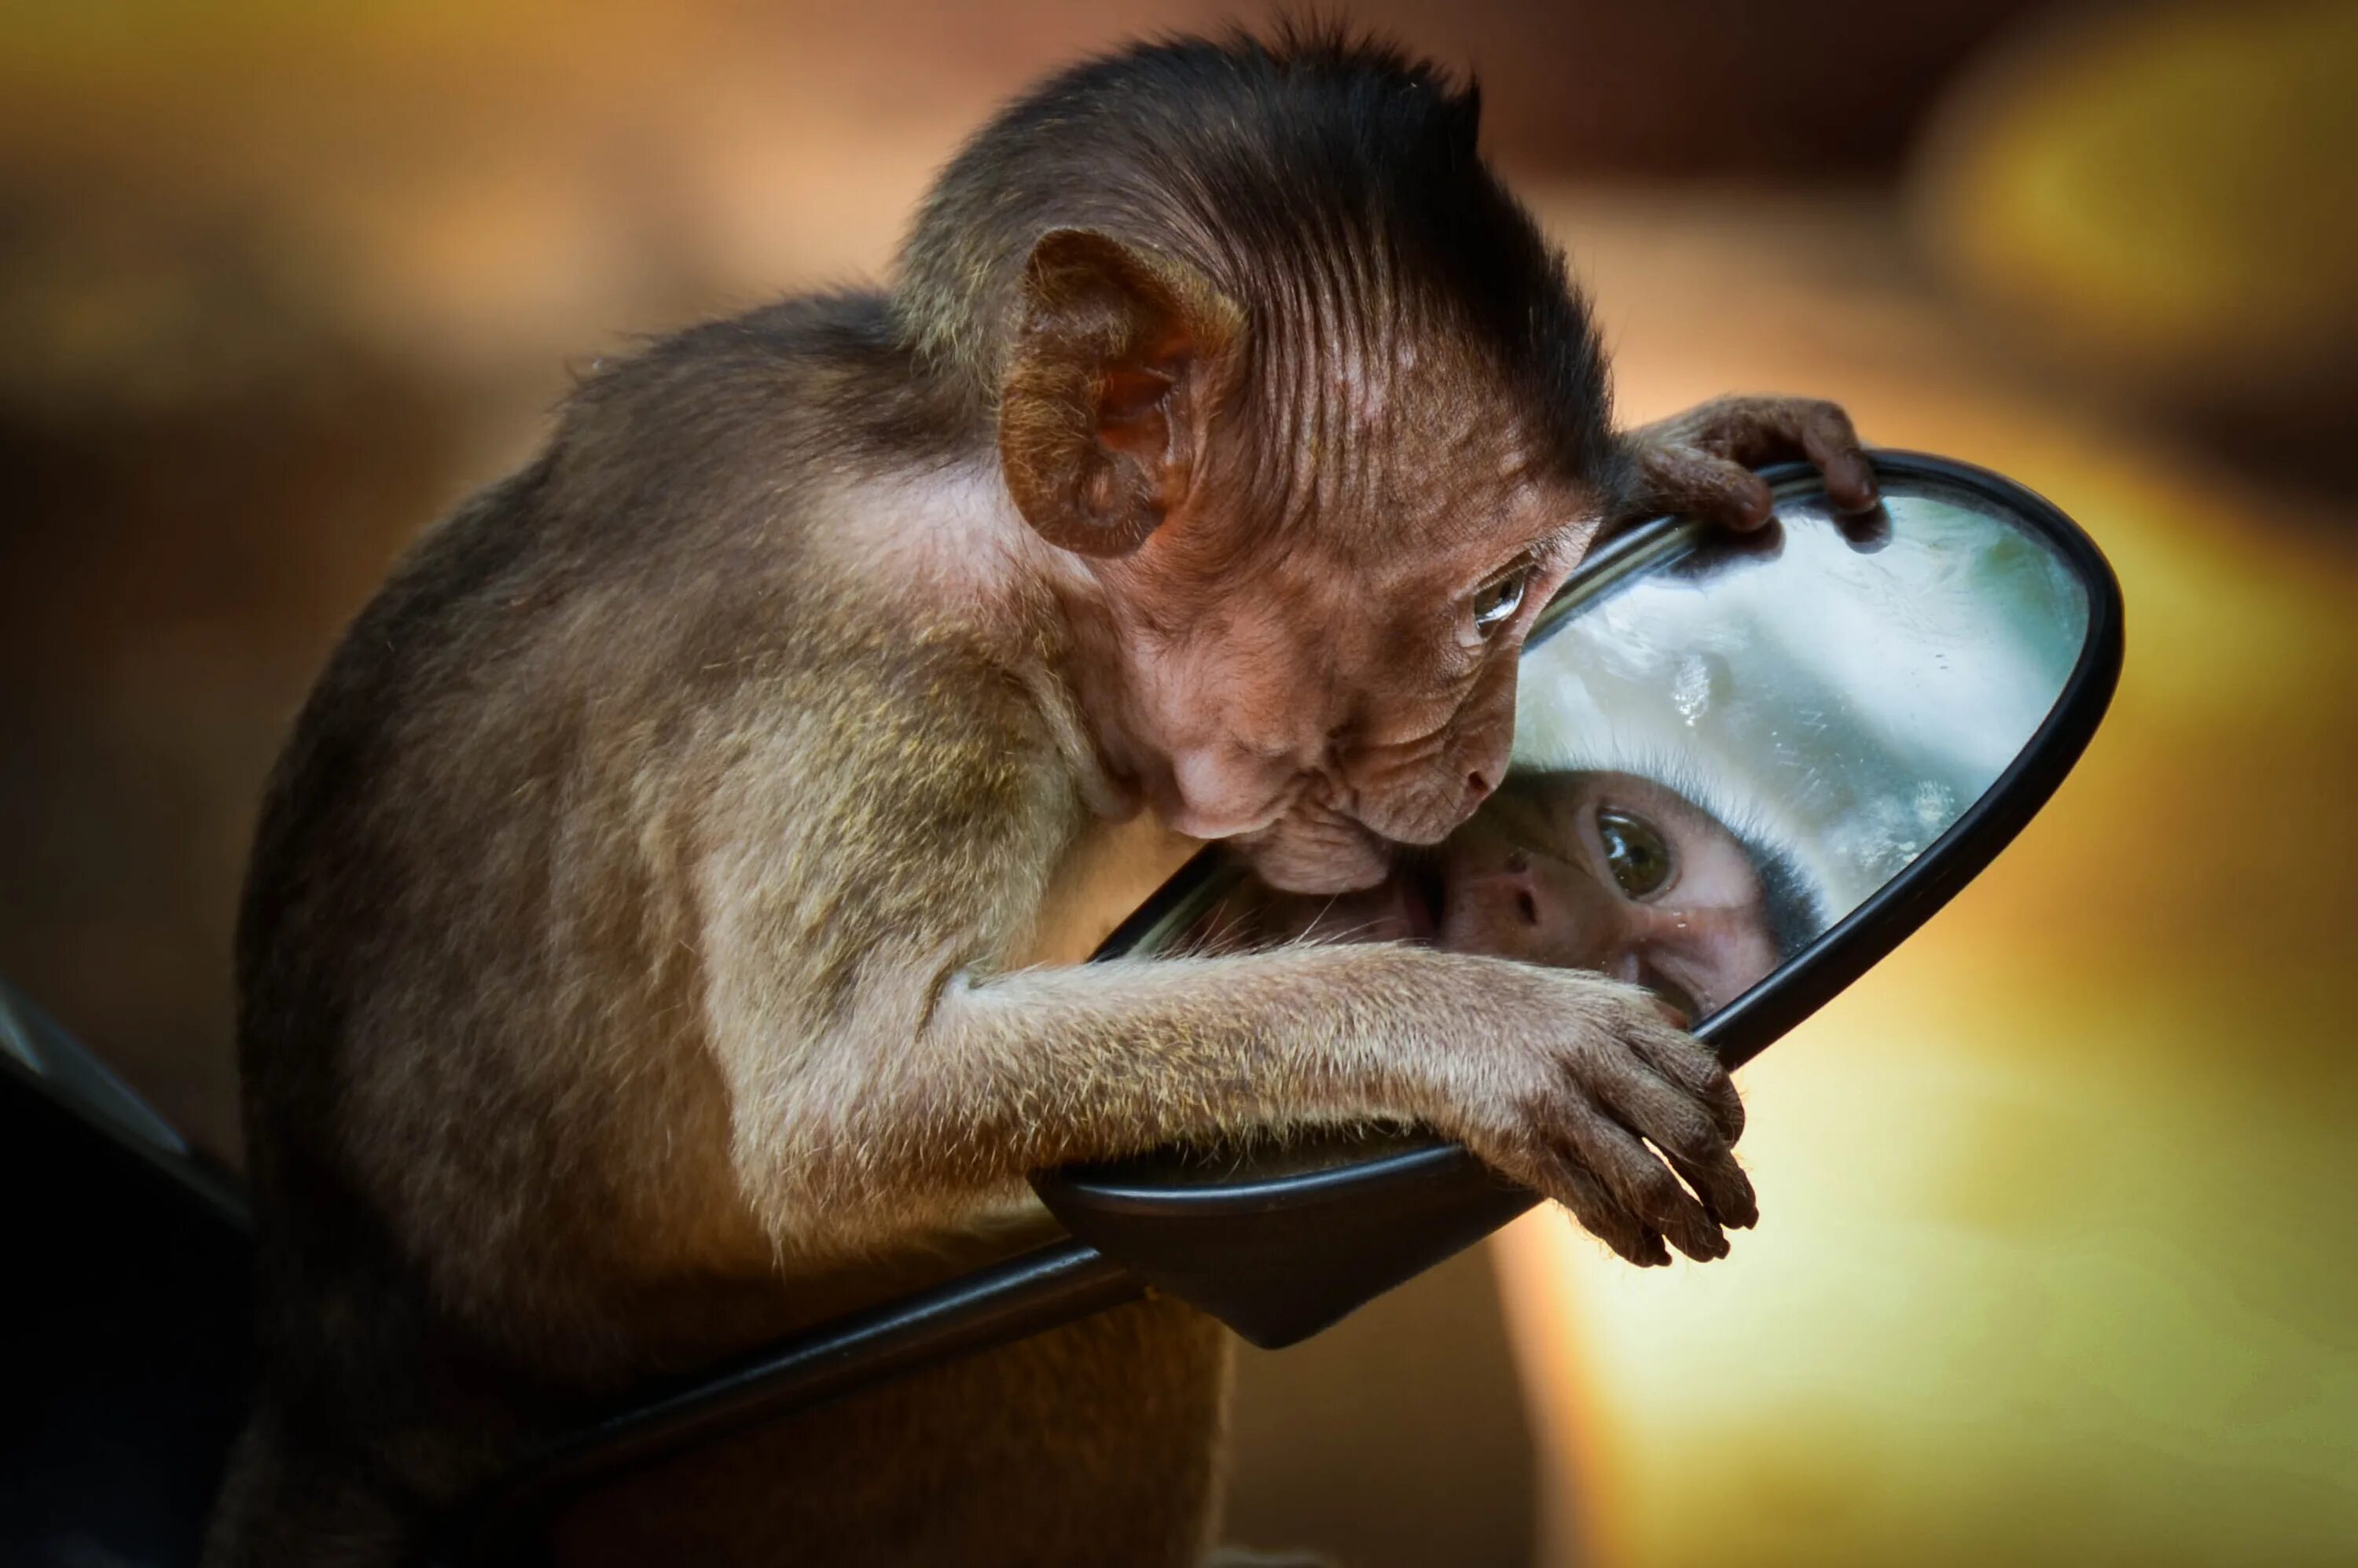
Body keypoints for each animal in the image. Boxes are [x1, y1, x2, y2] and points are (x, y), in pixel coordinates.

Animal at [212, 28, 1886, 1566]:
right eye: (1492, 601)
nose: (1485, 764)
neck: (996, 527)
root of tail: (335, 1397)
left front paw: (1677, 453)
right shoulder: (887, 683)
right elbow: (848, 1114)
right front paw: (1483, 1033)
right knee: (1121, 1314)